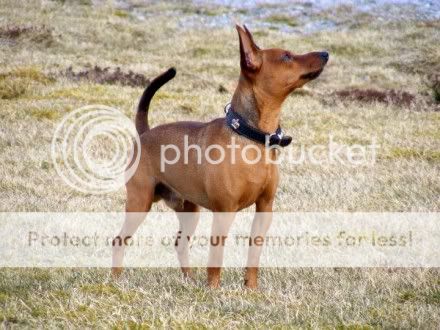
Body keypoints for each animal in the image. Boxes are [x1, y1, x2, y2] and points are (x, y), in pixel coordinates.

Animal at [111, 24, 328, 288]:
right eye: (287, 57)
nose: (326, 53)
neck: (252, 139)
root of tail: (145, 133)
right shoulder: (224, 212)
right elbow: (216, 256)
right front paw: (213, 289)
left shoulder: (264, 210)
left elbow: (253, 254)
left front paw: (251, 288)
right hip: (139, 204)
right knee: (119, 241)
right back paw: (115, 280)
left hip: (189, 212)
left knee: (180, 244)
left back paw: (188, 281)